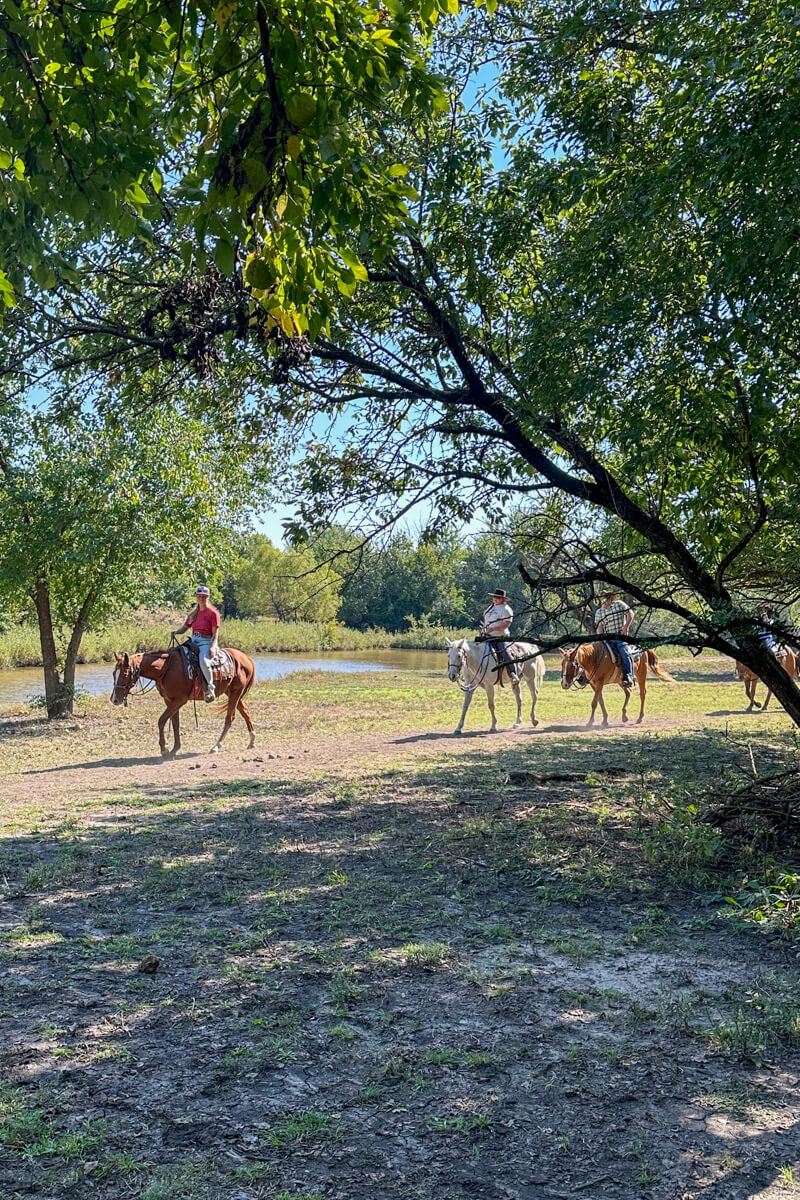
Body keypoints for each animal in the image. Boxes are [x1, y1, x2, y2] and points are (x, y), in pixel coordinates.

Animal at [111, 647, 257, 758]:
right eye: (113, 673)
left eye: (125, 674)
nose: (114, 699)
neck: (165, 668)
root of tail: (246, 658)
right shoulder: (169, 700)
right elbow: (175, 723)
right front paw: (175, 748)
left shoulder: (180, 700)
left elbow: (162, 720)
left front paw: (164, 750)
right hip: (233, 693)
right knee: (245, 712)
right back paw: (252, 741)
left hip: (236, 693)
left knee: (230, 717)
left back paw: (216, 746)